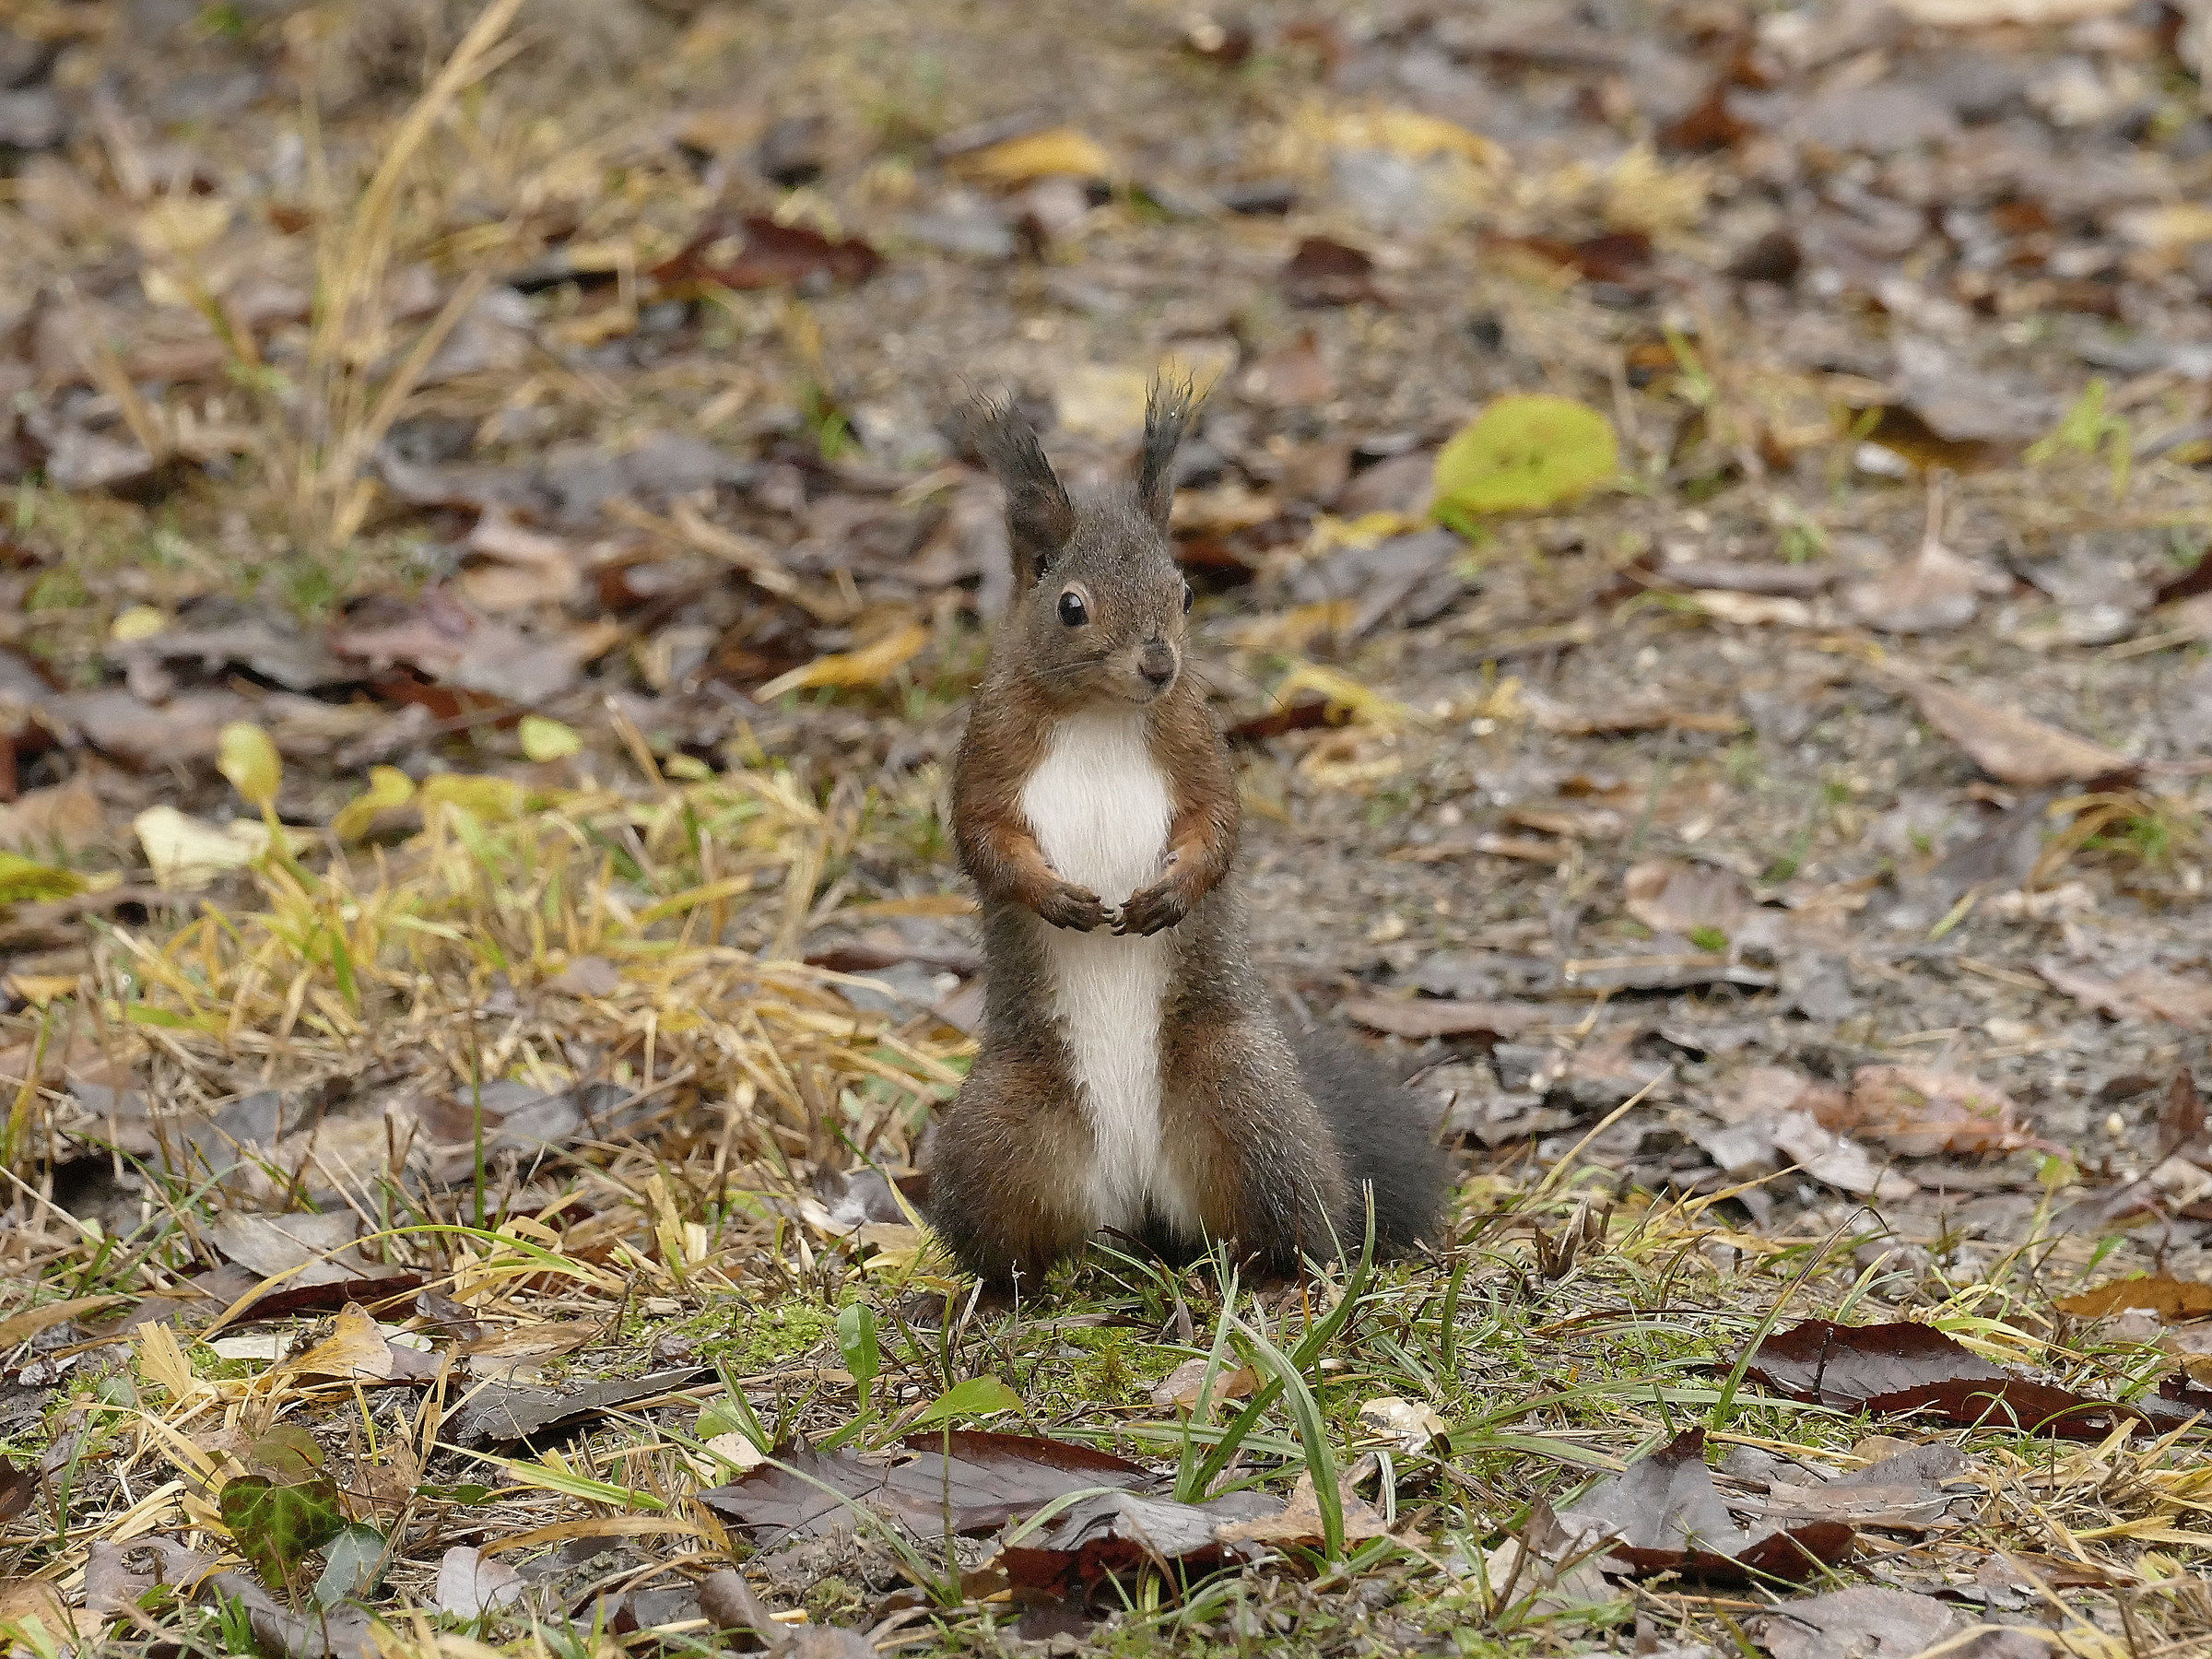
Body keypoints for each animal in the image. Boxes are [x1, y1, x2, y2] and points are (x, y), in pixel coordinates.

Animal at [920, 389, 1451, 1300]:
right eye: (1070, 606)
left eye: (1187, 593)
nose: (1159, 665)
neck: (1100, 714)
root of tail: (1135, 1197)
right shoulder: (987, 752)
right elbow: (983, 838)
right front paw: (1054, 894)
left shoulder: (1196, 741)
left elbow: (1219, 824)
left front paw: (1170, 893)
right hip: (1001, 1134)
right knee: (1006, 1240)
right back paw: (994, 1296)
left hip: (1244, 1105)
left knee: (1302, 1218)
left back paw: (1279, 1276)